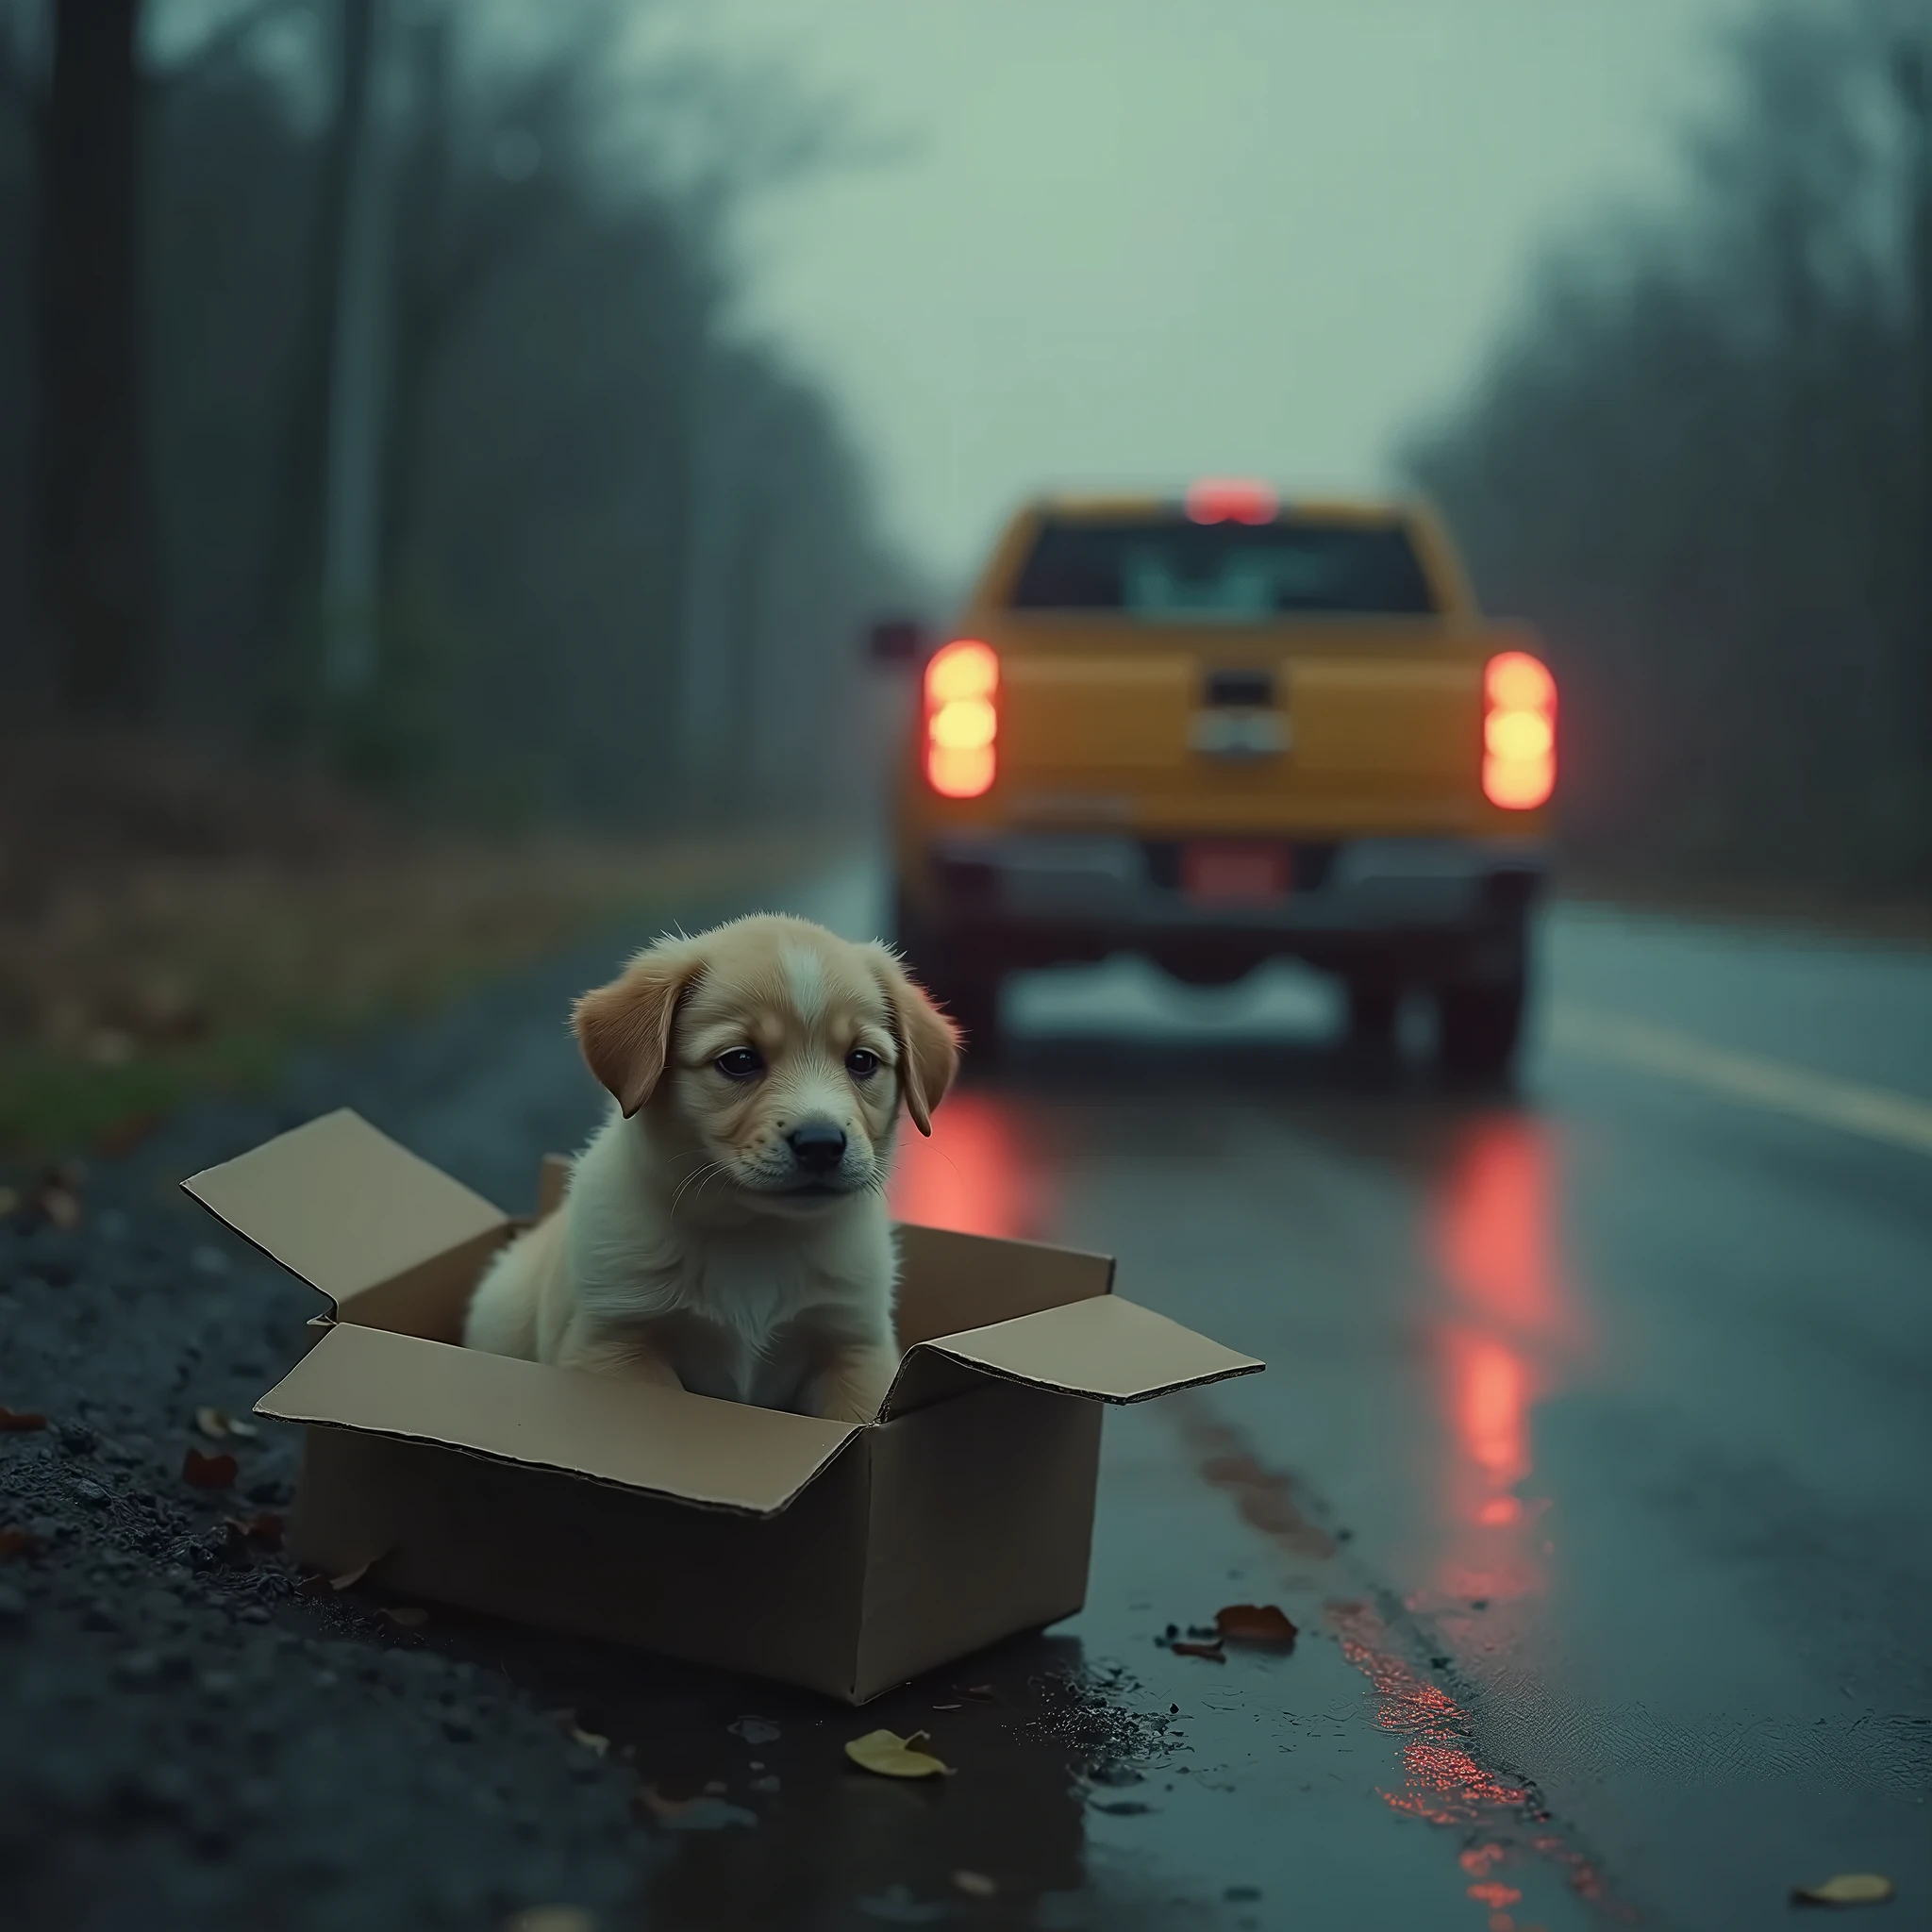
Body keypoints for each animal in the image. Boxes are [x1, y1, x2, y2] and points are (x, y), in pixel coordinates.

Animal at [459, 911, 958, 1429]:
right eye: (739, 1060)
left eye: (862, 1060)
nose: (821, 1144)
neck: (753, 1235)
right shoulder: (615, 1346)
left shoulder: (855, 1350)